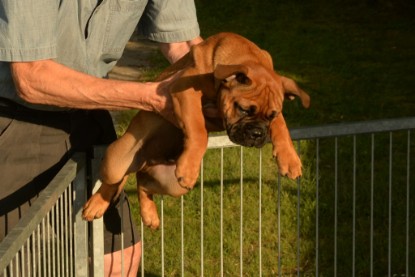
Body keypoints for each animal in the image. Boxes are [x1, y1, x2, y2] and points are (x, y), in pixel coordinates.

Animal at [83, 32, 310, 227]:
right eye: (244, 109)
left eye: (271, 116)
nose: (257, 134)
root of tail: (145, 161)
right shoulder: (184, 91)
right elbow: (198, 131)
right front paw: (189, 169)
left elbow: (282, 126)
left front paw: (289, 158)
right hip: (117, 159)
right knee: (114, 181)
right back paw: (96, 204)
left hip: (172, 185)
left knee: (142, 182)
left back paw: (149, 215)